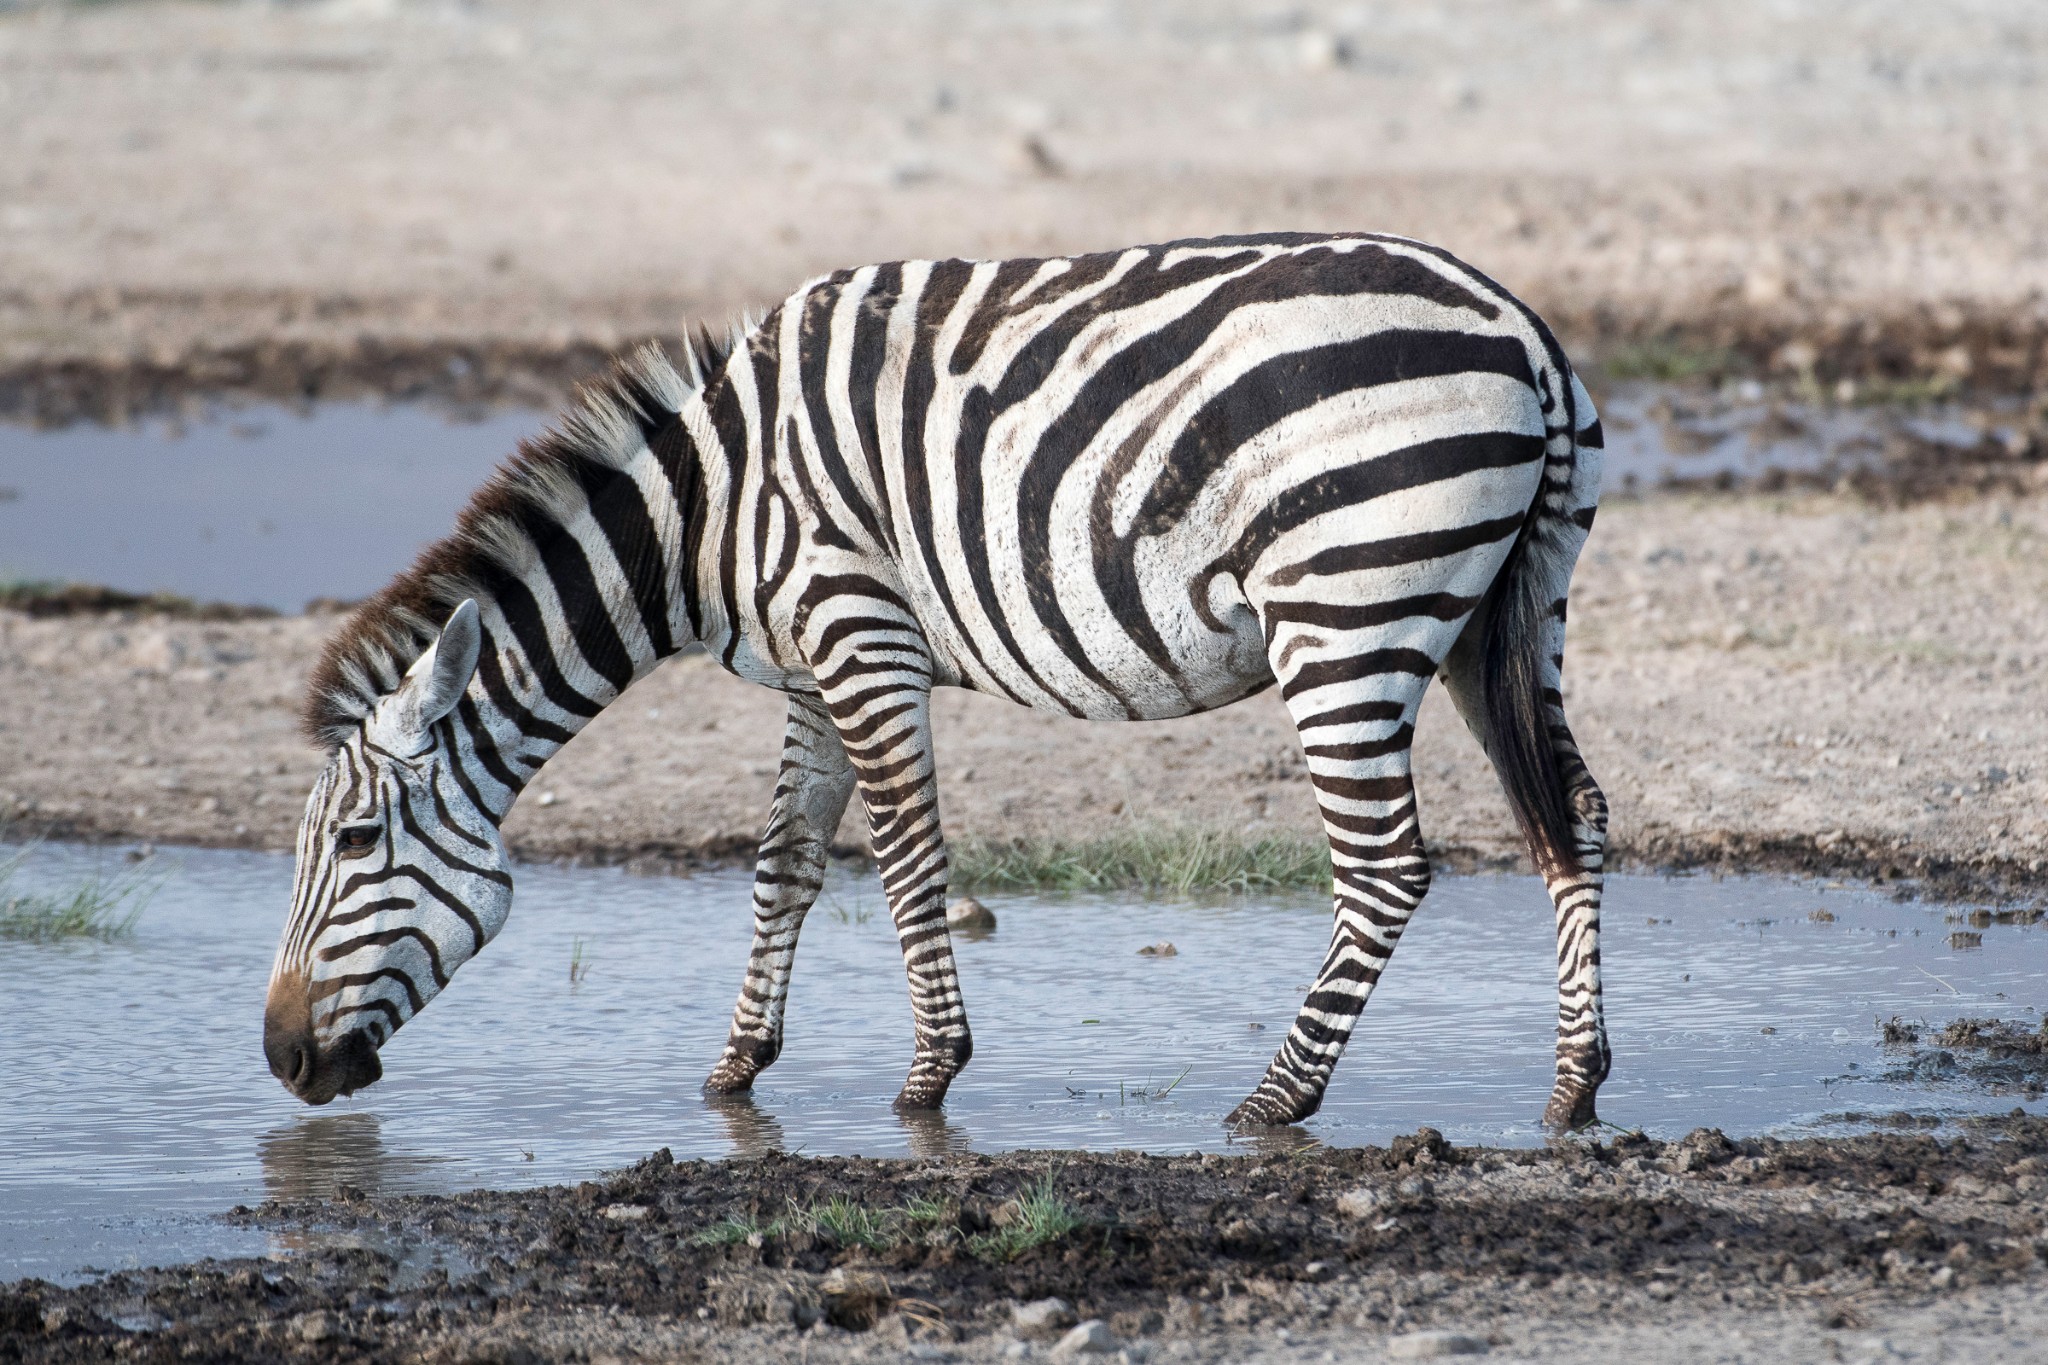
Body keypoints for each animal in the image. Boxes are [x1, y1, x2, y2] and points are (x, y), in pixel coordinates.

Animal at [268, 232, 1613, 1129]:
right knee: (1574, 818)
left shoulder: (858, 631)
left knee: (1385, 865)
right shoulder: (808, 675)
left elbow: (906, 862)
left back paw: (1273, 1100)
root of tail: (1522, 330)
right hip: (1509, 604)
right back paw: (1572, 1086)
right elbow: (784, 865)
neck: (707, 514)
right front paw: (734, 1070)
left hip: (1344, 610)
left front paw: (927, 1080)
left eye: (355, 845)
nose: (279, 1061)